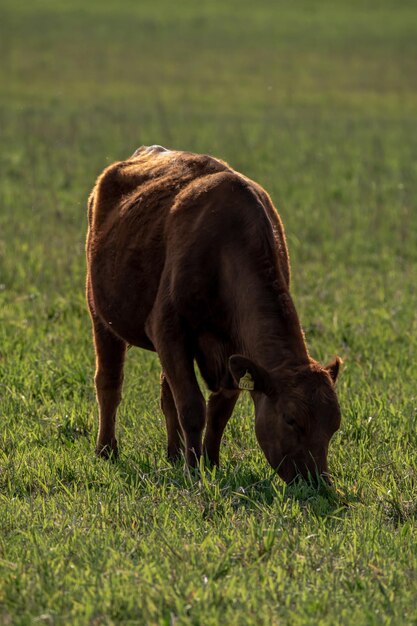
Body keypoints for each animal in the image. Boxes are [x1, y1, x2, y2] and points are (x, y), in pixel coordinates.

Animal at [85, 145, 342, 482]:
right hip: (100, 313)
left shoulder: (231, 351)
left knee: (166, 396)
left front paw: (210, 461)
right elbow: (192, 406)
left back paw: (174, 452)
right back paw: (106, 450)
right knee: (109, 383)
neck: (226, 249)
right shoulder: (168, 328)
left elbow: (220, 408)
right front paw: (194, 470)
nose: (318, 482)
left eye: (334, 425)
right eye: (291, 419)